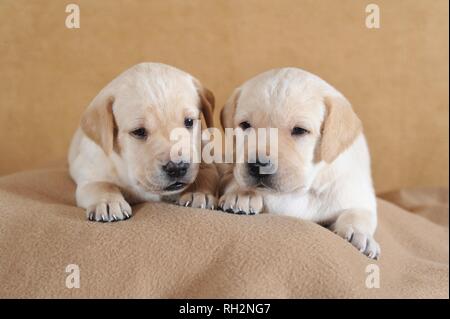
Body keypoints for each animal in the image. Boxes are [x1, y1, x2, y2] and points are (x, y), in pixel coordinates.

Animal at [67, 62, 219, 222]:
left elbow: (205, 174)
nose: (177, 168)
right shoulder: (90, 171)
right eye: (139, 132)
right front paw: (108, 202)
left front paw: (197, 193)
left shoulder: (205, 160)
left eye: (189, 121)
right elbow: (101, 185)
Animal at [218, 67, 380, 260]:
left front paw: (360, 234)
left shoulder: (356, 193)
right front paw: (242, 194)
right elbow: (234, 179)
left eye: (300, 130)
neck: (300, 191)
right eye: (245, 125)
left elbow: (359, 213)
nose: (258, 165)